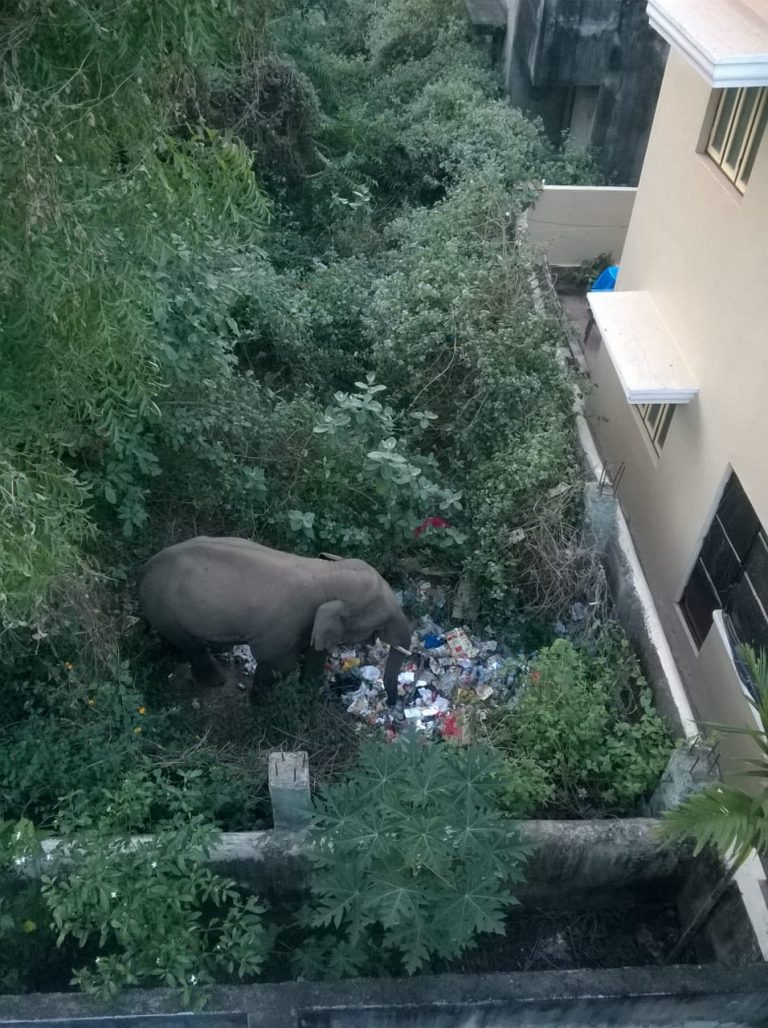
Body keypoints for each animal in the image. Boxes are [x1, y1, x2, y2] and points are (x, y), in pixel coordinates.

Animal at [138, 536, 412, 706]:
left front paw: (307, 694)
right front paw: (263, 704)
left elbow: (314, 653)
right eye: (382, 619)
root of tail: (145, 568)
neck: (328, 572)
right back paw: (217, 681)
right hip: (166, 608)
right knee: (193, 647)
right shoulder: (284, 626)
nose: (391, 703)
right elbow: (276, 661)